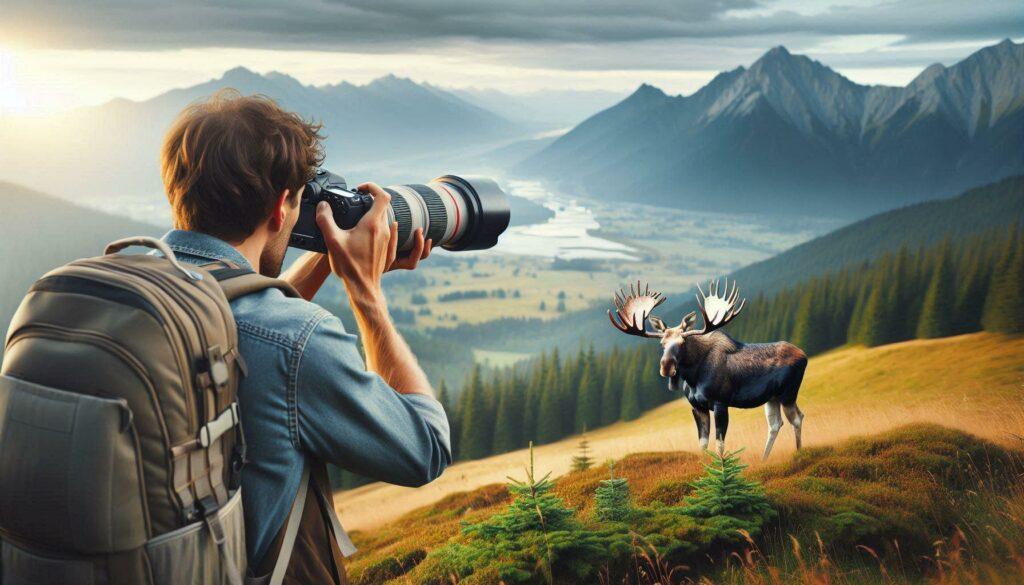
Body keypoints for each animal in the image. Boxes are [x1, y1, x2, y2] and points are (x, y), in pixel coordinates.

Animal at [606, 280, 806, 461]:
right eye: (662, 343)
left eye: (682, 342)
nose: (666, 366)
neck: (694, 378)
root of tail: (804, 355)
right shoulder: (697, 407)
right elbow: (702, 444)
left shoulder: (720, 402)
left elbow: (719, 443)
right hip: (772, 397)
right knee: (776, 424)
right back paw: (765, 460)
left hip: (788, 392)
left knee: (796, 418)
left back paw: (798, 453)